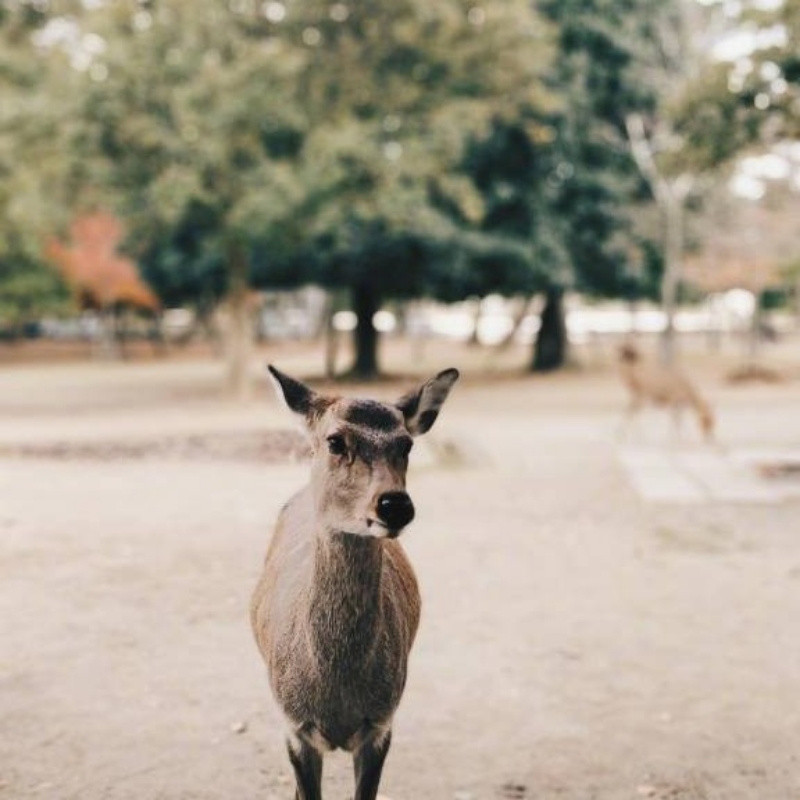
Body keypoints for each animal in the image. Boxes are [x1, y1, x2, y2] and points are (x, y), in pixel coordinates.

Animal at [253, 366, 460, 796]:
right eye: (335, 440)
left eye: (407, 445)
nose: (395, 504)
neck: (337, 698)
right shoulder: (293, 725)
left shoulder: (381, 723)